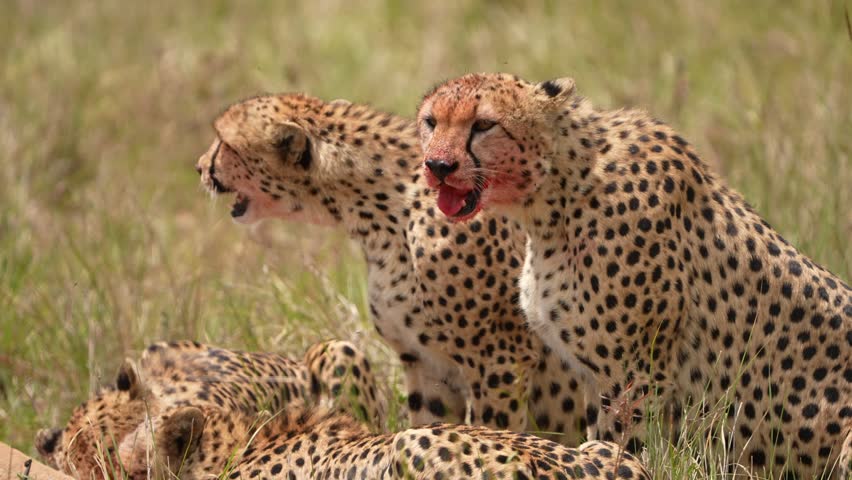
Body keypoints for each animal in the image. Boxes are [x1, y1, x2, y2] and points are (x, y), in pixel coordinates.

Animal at [195, 92, 587, 442]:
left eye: (224, 144)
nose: (199, 167)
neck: (379, 210)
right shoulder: (425, 362)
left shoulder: (500, 358)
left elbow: (493, 428)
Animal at [416, 72, 851, 479]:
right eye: (431, 122)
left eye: (484, 124)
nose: (438, 166)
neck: (558, 193)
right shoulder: (598, 375)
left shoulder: (635, 377)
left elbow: (624, 447)